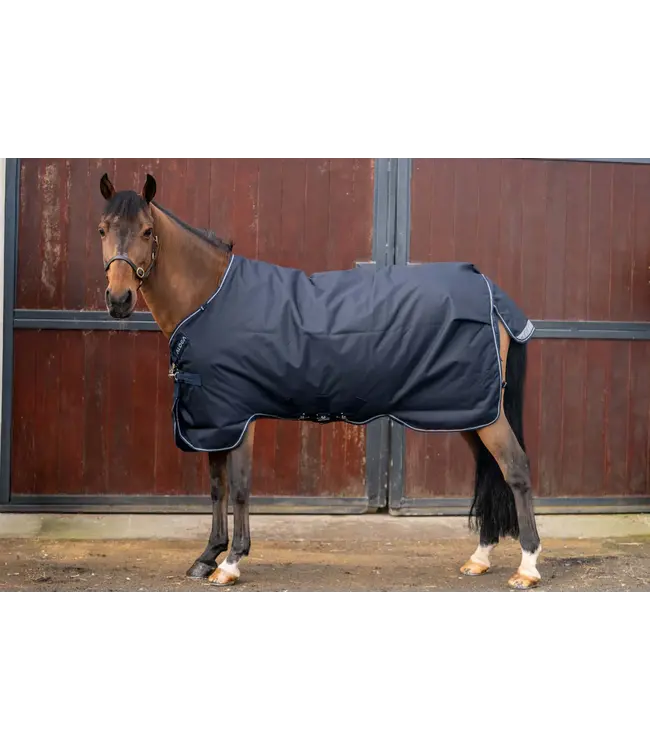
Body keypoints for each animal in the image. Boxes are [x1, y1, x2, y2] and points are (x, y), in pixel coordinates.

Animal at [97, 172, 543, 591]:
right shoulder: (213, 417)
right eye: (102, 229)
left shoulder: (239, 416)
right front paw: (207, 556)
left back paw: (527, 567)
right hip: (466, 409)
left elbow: (239, 487)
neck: (209, 299)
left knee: (515, 468)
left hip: (482, 412)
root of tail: (492, 292)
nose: (118, 299)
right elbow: (217, 487)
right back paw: (480, 558)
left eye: (147, 231)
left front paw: (231, 562)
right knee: (489, 469)